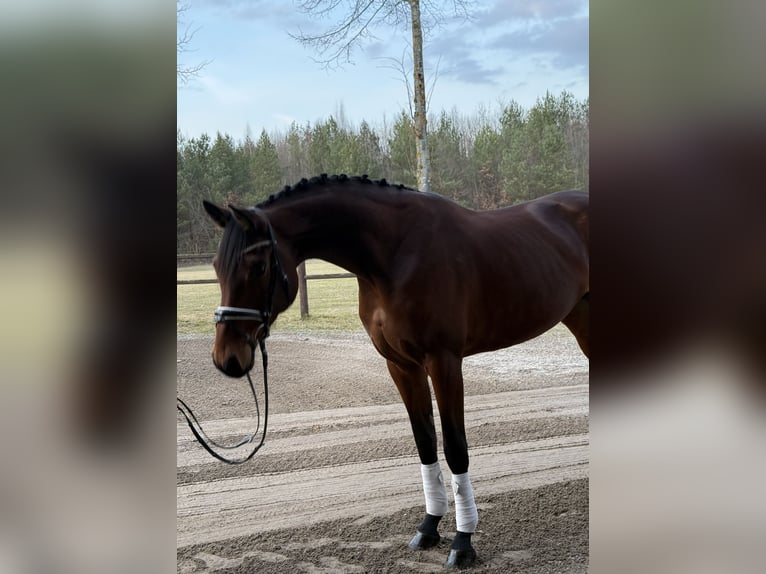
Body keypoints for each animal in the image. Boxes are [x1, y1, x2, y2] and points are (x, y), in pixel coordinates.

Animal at [202, 174, 589, 568]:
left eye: (258, 267)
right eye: (216, 266)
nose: (226, 358)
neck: (395, 255)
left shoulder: (444, 361)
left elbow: (455, 447)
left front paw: (463, 542)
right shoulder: (401, 365)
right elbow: (425, 442)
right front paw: (429, 527)